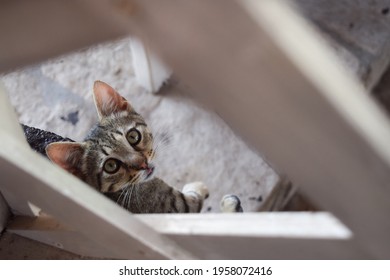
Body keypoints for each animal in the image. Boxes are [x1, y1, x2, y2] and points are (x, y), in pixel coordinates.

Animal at [45, 81, 241, 214]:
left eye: (133, 136)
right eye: (111, 165)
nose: (143, 164)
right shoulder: (176, 206)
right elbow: (196, 202)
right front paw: (209, 193)